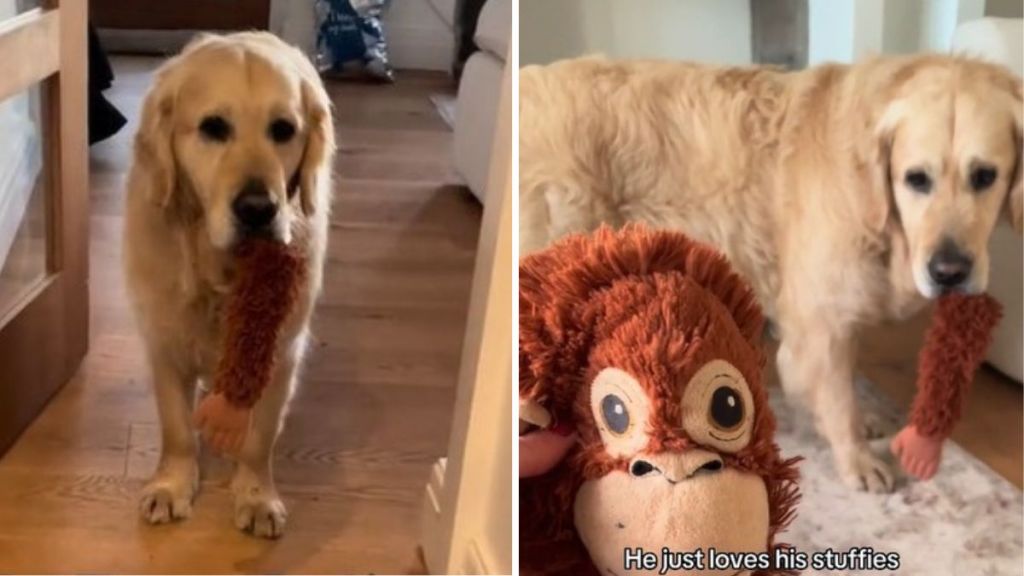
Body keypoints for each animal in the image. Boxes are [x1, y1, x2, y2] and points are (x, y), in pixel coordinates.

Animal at [122, 31, 333, 532]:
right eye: (213, 128)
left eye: (283, 129)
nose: (258, 210)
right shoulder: (165, 340)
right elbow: (177, 428)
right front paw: (171, 485)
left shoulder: (281, 351)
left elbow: (261, 437)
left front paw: (256, 495)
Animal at [524, 56, 1019, 491]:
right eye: (916, 179)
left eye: (985, 176)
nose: (949, 272)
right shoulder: (819, 326)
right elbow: (838, 399)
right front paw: (857, 460)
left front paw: (865, 424)